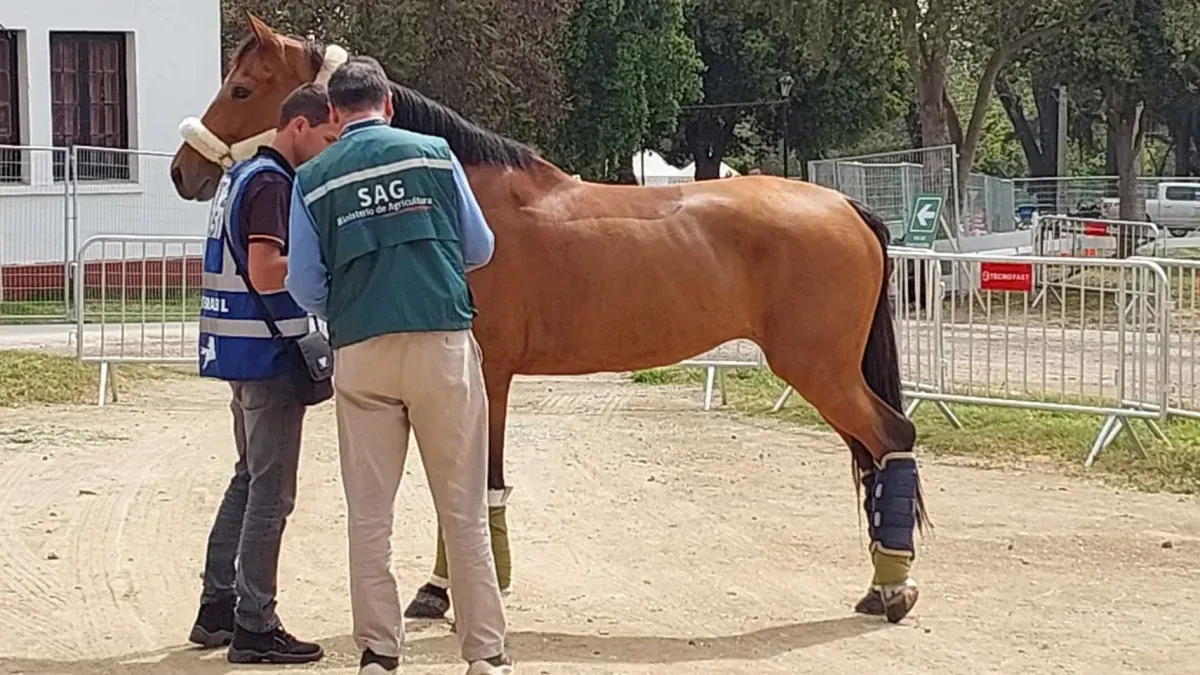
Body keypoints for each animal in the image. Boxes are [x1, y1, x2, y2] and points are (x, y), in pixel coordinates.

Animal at [169, 15, 921, 624]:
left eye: (242, 89)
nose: (182, 171)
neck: (464, 193)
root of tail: (845, 206)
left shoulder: (484, 373)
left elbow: (475, 482)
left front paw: (453, 588)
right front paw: (445, 588)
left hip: (820, 371)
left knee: (893, 437)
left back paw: (892, 588)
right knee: (876, 452)